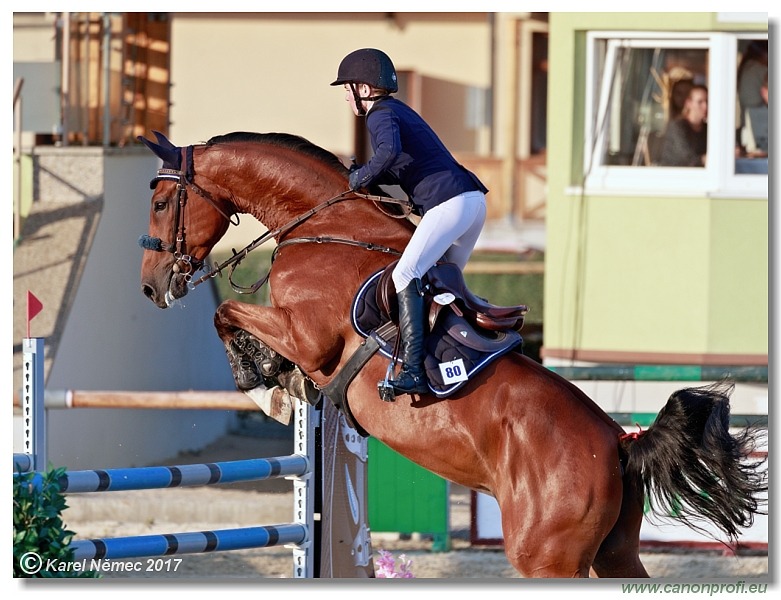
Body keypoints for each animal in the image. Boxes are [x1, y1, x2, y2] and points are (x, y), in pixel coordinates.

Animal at [137, 130, 764, 576]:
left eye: (162, 201)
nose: (149, 286)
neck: (325, 226)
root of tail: (619, 441)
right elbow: (235, 321)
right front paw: (277, 381)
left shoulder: (308, 336)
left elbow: (227, 314)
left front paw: (263, 381)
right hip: (615, 556)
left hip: (547, 558)